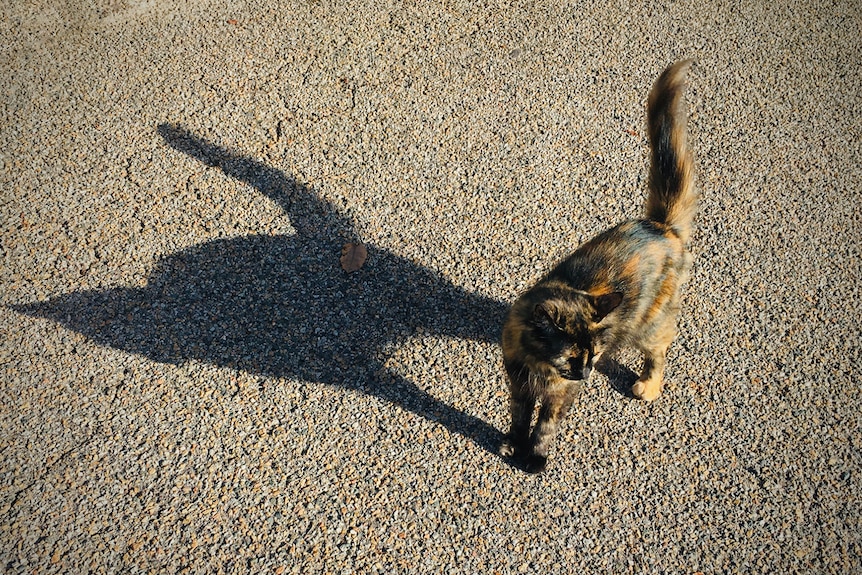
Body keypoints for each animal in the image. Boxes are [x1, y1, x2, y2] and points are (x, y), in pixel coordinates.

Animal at [502, 60, 700, 472]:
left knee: (659, 352)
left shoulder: (561, 395)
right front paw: (513, 444)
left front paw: (535, 457)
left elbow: (545, 425)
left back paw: (648, 387)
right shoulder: (517, 382)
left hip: (650, 325)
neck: (539, 365)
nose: (587, 373)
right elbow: (519, 416)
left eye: (591, 357)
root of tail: (660, 225)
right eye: (573, 357)